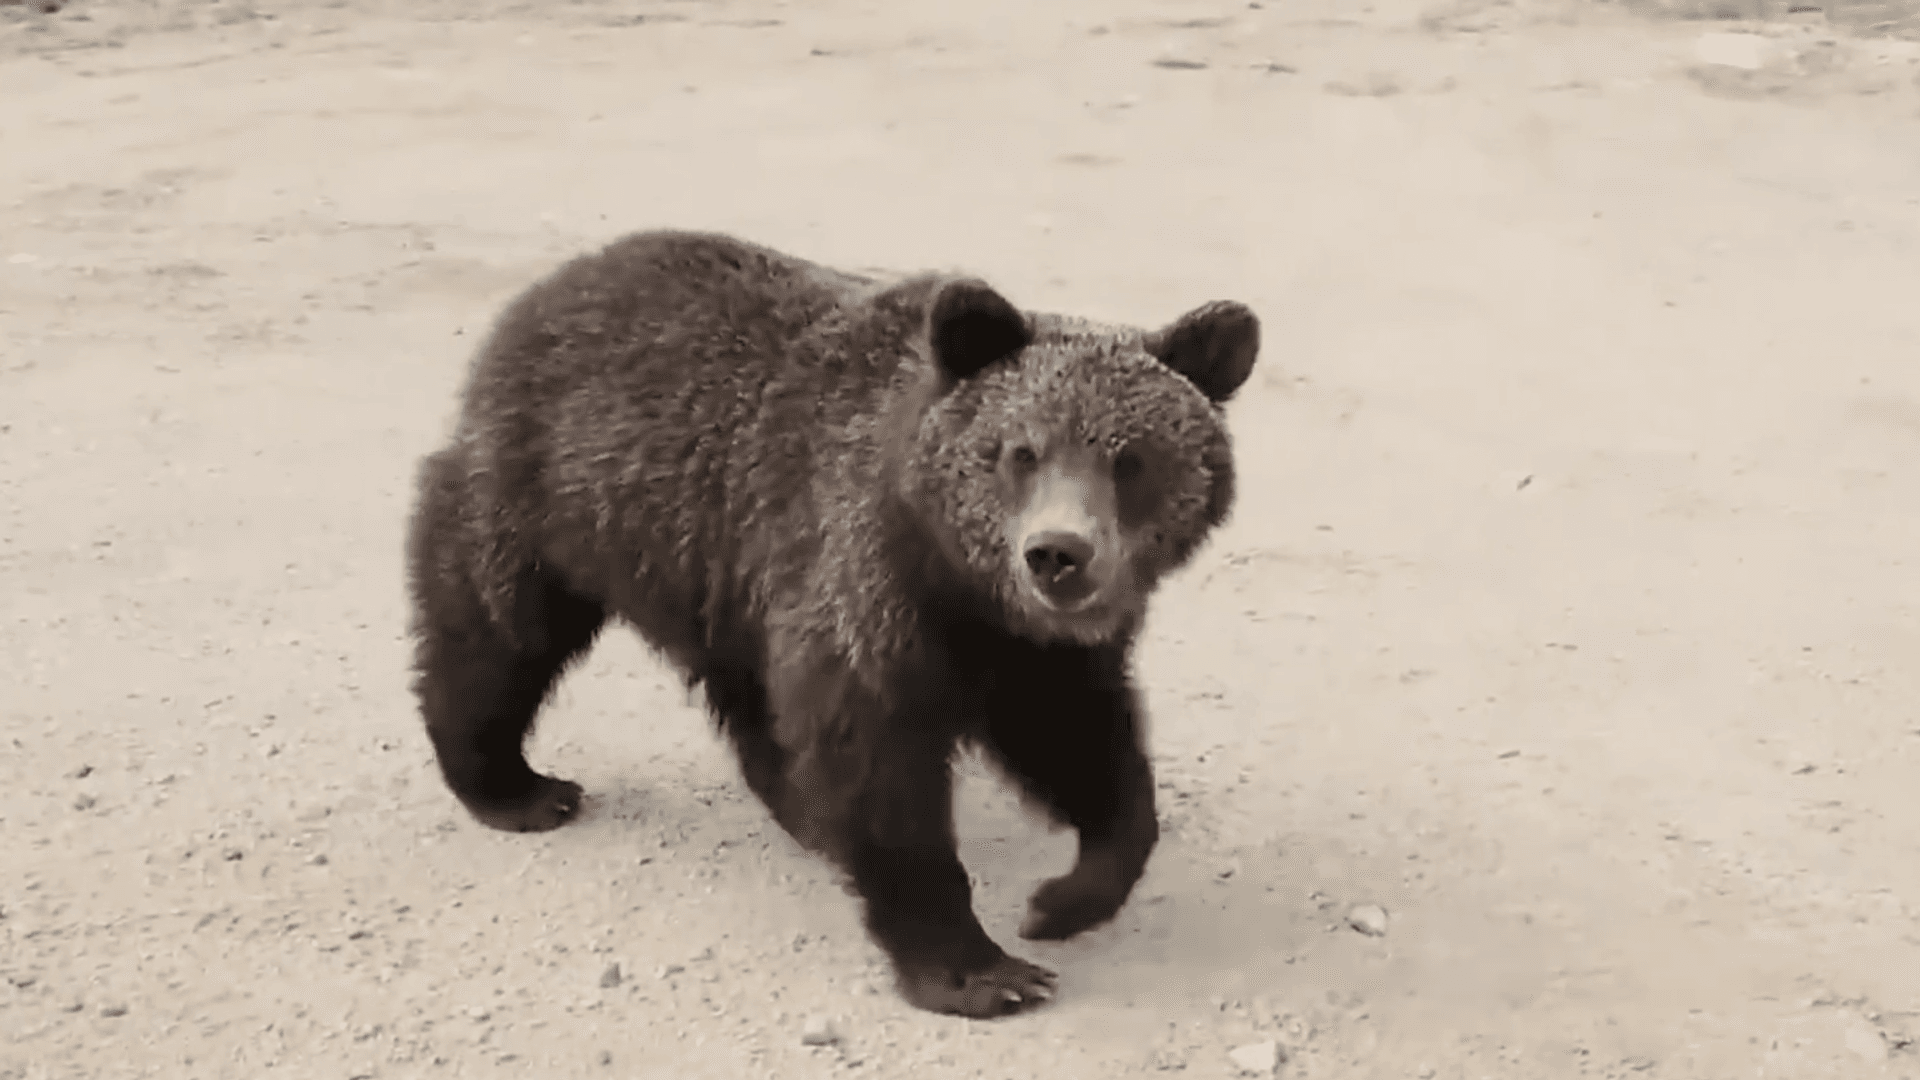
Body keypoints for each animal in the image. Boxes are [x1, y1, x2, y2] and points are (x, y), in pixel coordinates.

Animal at [404, 230, 1259, 1018]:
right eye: (1019, 451)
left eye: (1130, 458)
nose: (1057, 553)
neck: (963, 587)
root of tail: (548, 289)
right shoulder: (868, 586)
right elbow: (877, 768)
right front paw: (979, 971)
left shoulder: (1031, 650)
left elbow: (1083, 745)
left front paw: (1063, 900)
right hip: (558, 494)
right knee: (495, 627)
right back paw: (514, 785)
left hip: (719, 574)